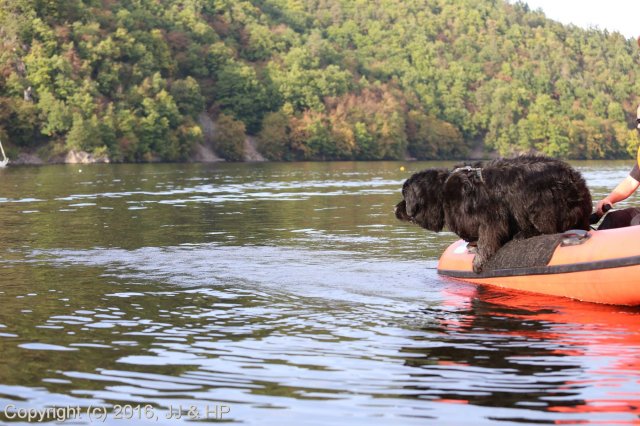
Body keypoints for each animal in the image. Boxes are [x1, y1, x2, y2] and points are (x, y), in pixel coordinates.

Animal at [398, 156, 592, 272]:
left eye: (404, 197)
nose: (396, 209)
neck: (443, 191)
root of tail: (578, 183)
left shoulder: (491, 216)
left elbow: (488, 237)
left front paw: (479, 261)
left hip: (540, 201)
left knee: (549, 230)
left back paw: (525, 233)